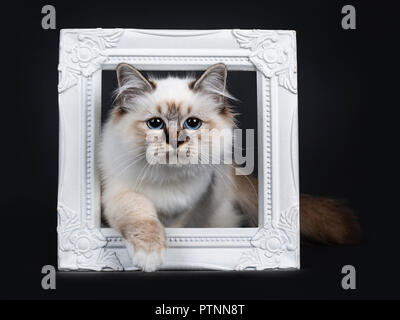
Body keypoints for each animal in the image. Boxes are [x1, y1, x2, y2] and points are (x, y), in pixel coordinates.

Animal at [99, 63, 360, 272]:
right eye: (155, 124)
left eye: (192, 124)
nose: (176, 141)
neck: (170, 180)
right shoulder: (120, 193)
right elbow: (141, 217)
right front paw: (149, 257)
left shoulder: (188, 210)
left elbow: (175, 226)